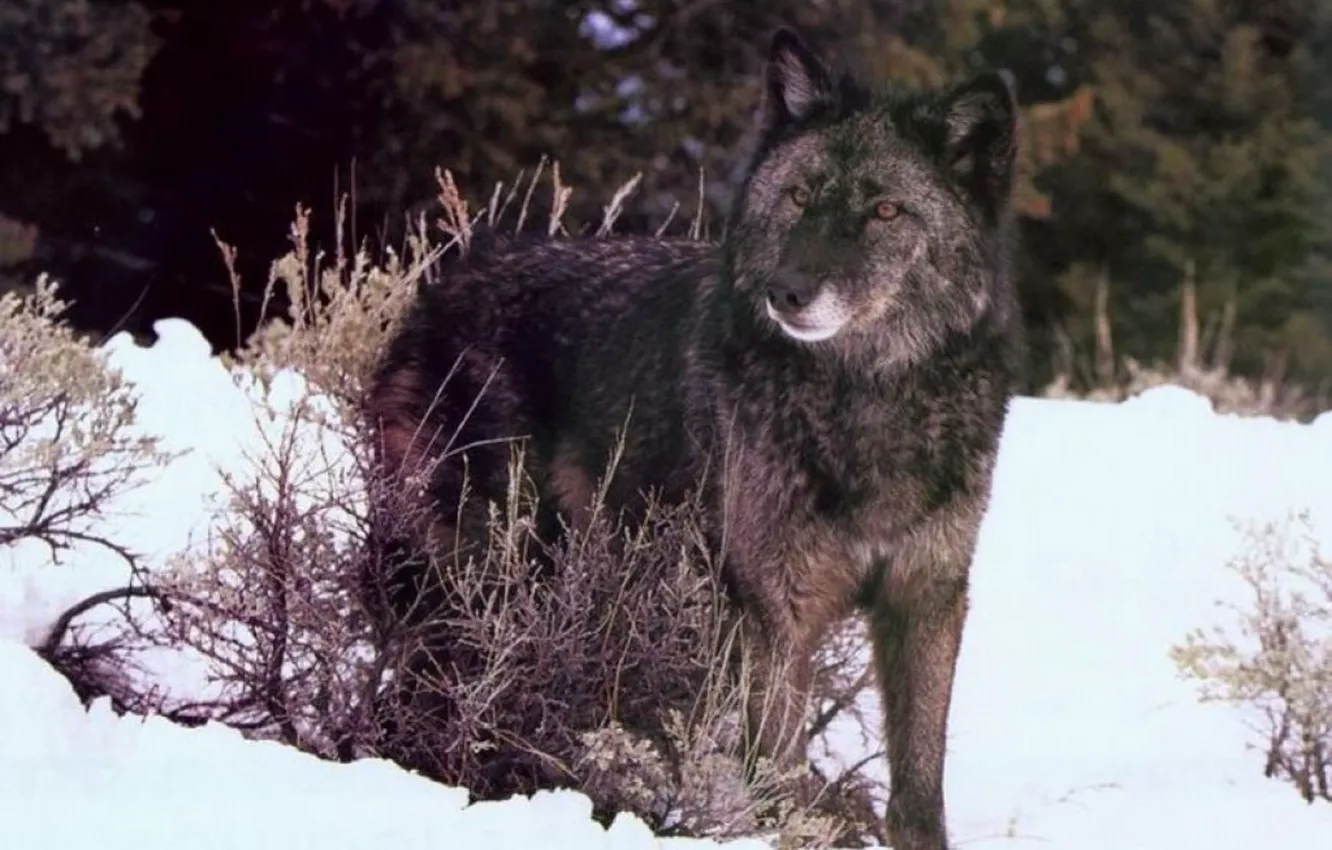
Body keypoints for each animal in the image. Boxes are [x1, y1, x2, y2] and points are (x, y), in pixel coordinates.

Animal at [364, 26, 1023, 850]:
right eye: (799, 196)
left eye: (885, 210)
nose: (787, 293)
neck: (866, 405)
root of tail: (440, 291)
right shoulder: (771, 614)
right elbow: (781, 782)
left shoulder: (926, 599)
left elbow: (918, 792)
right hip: (484, 575)